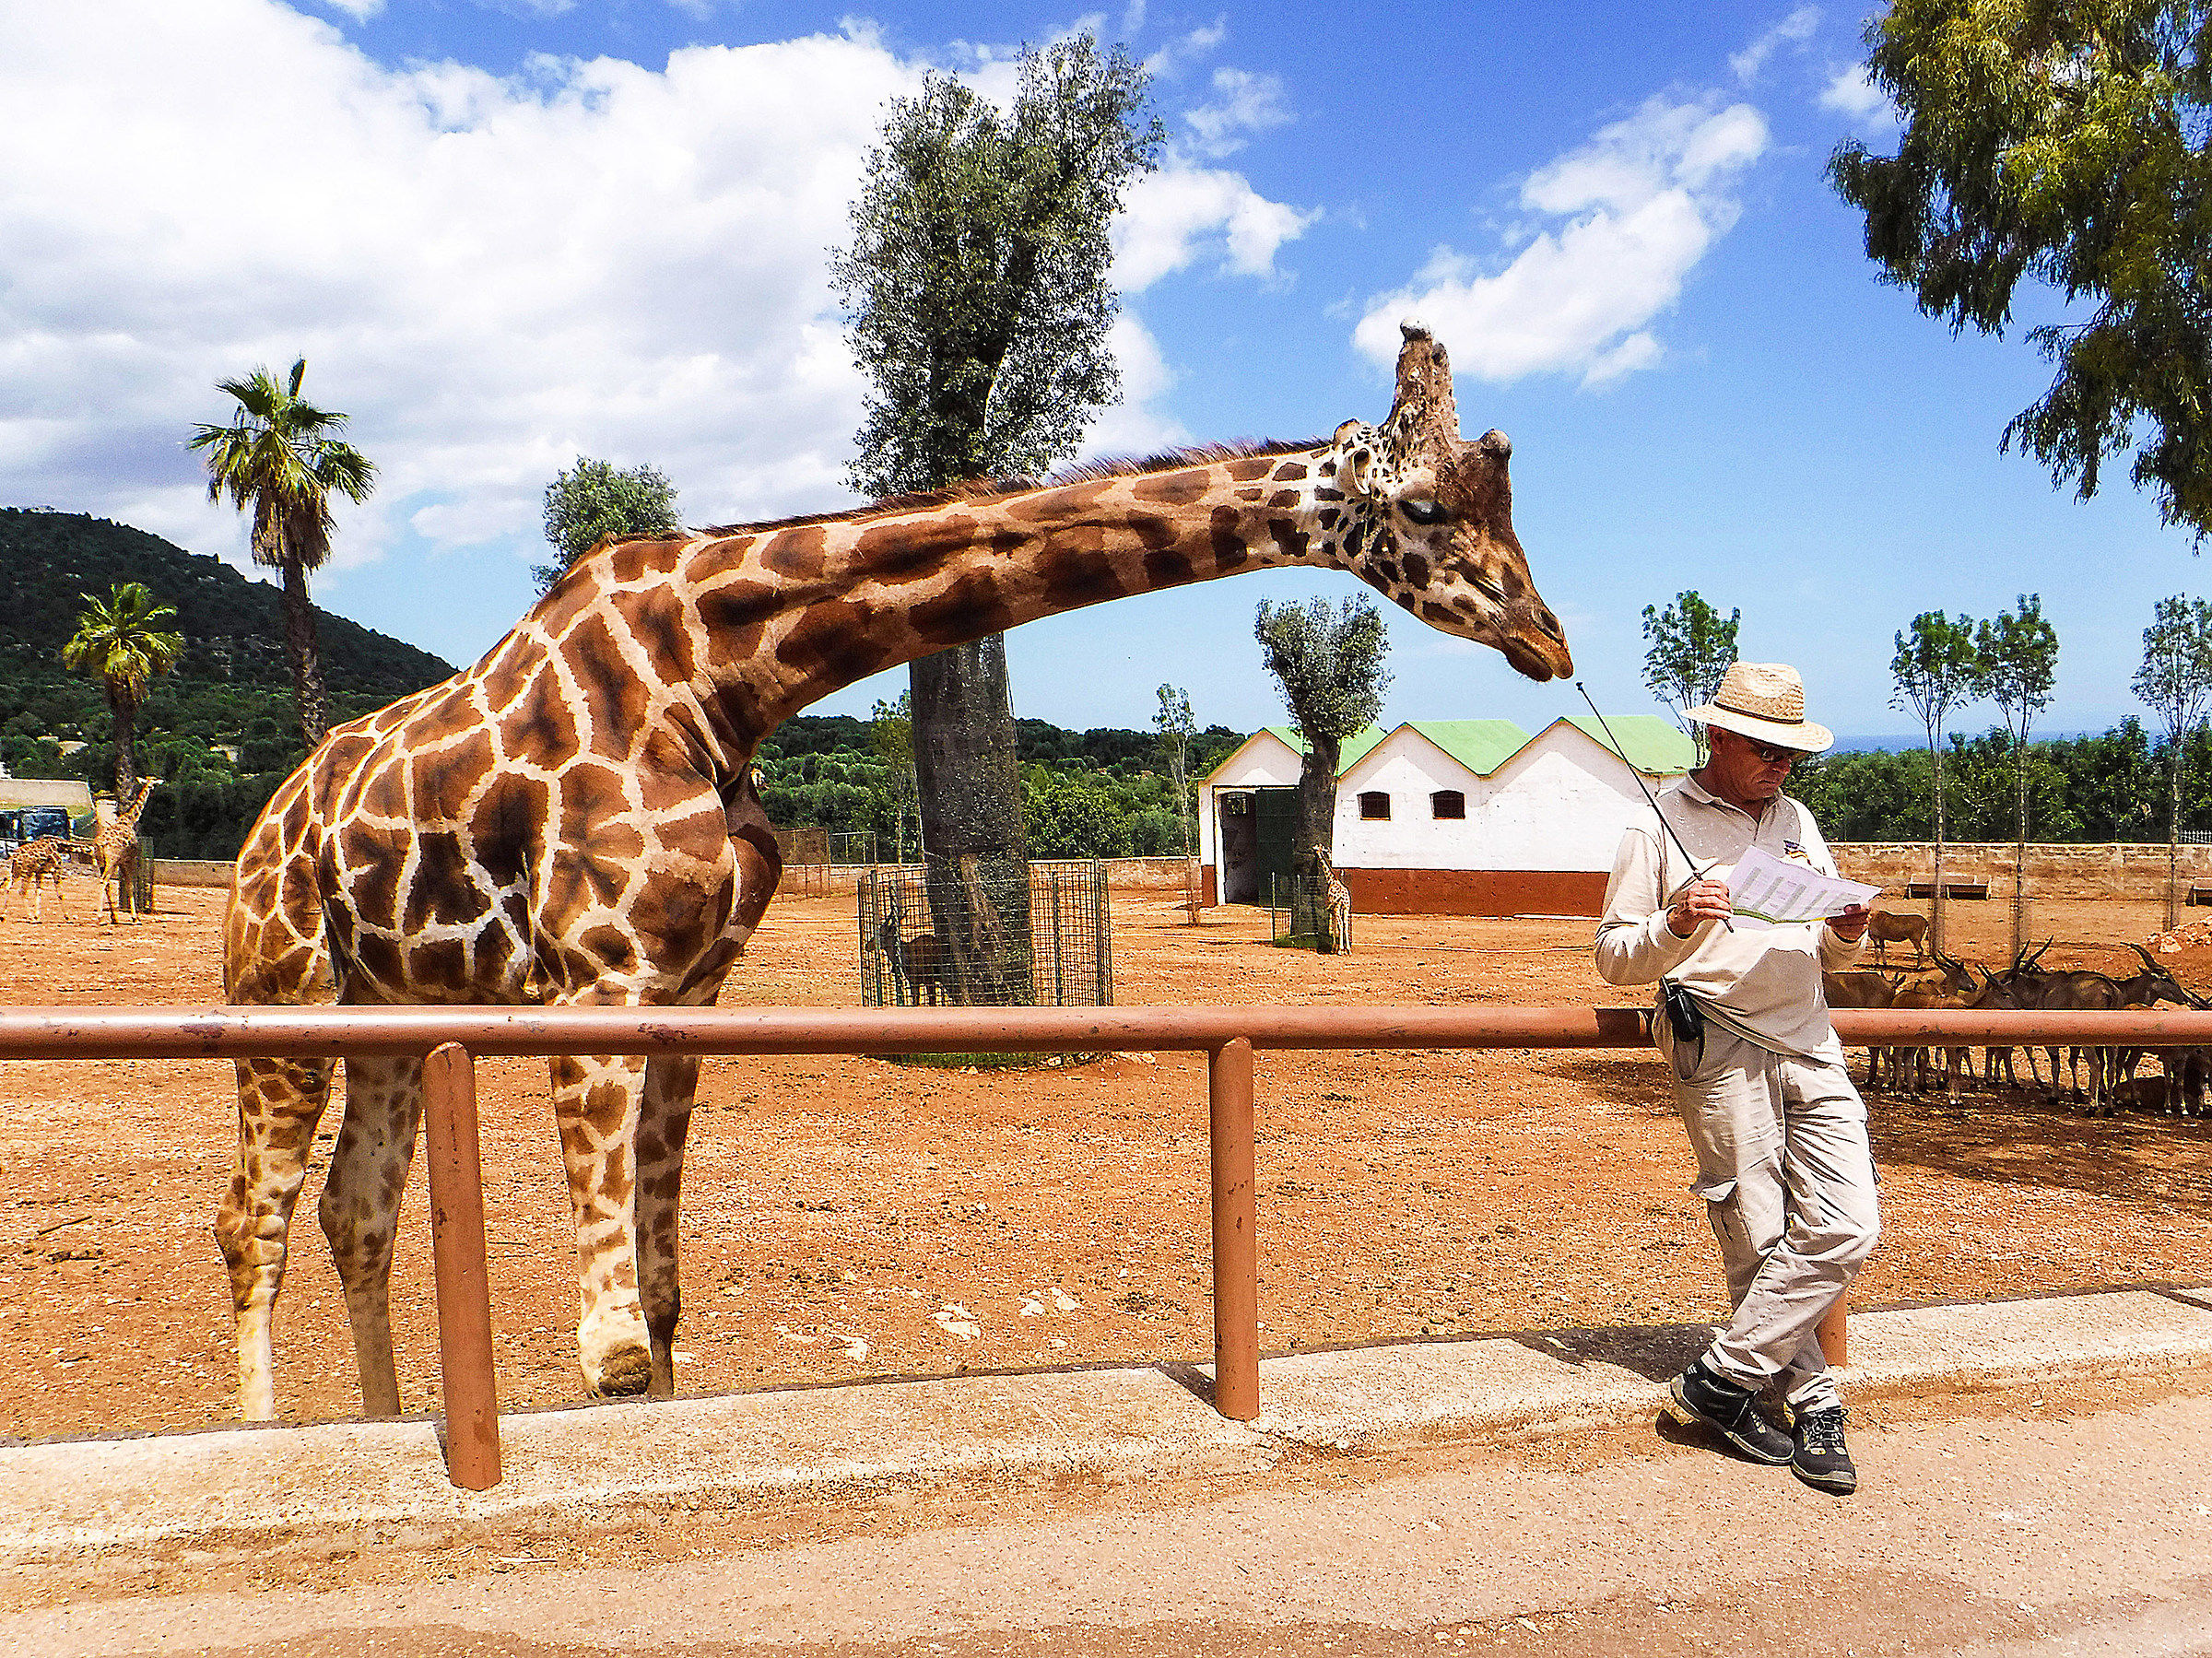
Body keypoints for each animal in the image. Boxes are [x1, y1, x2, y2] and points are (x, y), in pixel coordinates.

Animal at [92, 777, 159, 925]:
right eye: (152, 783)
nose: (152, 788)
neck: (130, 819)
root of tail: (99, 845)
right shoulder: (129, 859)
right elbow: (130, 885)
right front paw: (135, 918)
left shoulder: (121, 862)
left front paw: (118, 916)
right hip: (110, 862)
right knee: (103, 881)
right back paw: (100, 917)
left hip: (101, 862)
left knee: (106, 884)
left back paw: (113, 917)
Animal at [216, 324, 1575, 1421]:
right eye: (1428, 508)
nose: (1549, 637)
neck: (719, 678)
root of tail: (264, 826)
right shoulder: (598, 971)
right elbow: (612, 1350)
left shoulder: (691, 983)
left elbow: (664, 1304)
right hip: (282, 993)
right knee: (252, 1219)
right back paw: (262, 1433)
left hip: (390, 1005)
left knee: (356, 1213)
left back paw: (382, 1420)